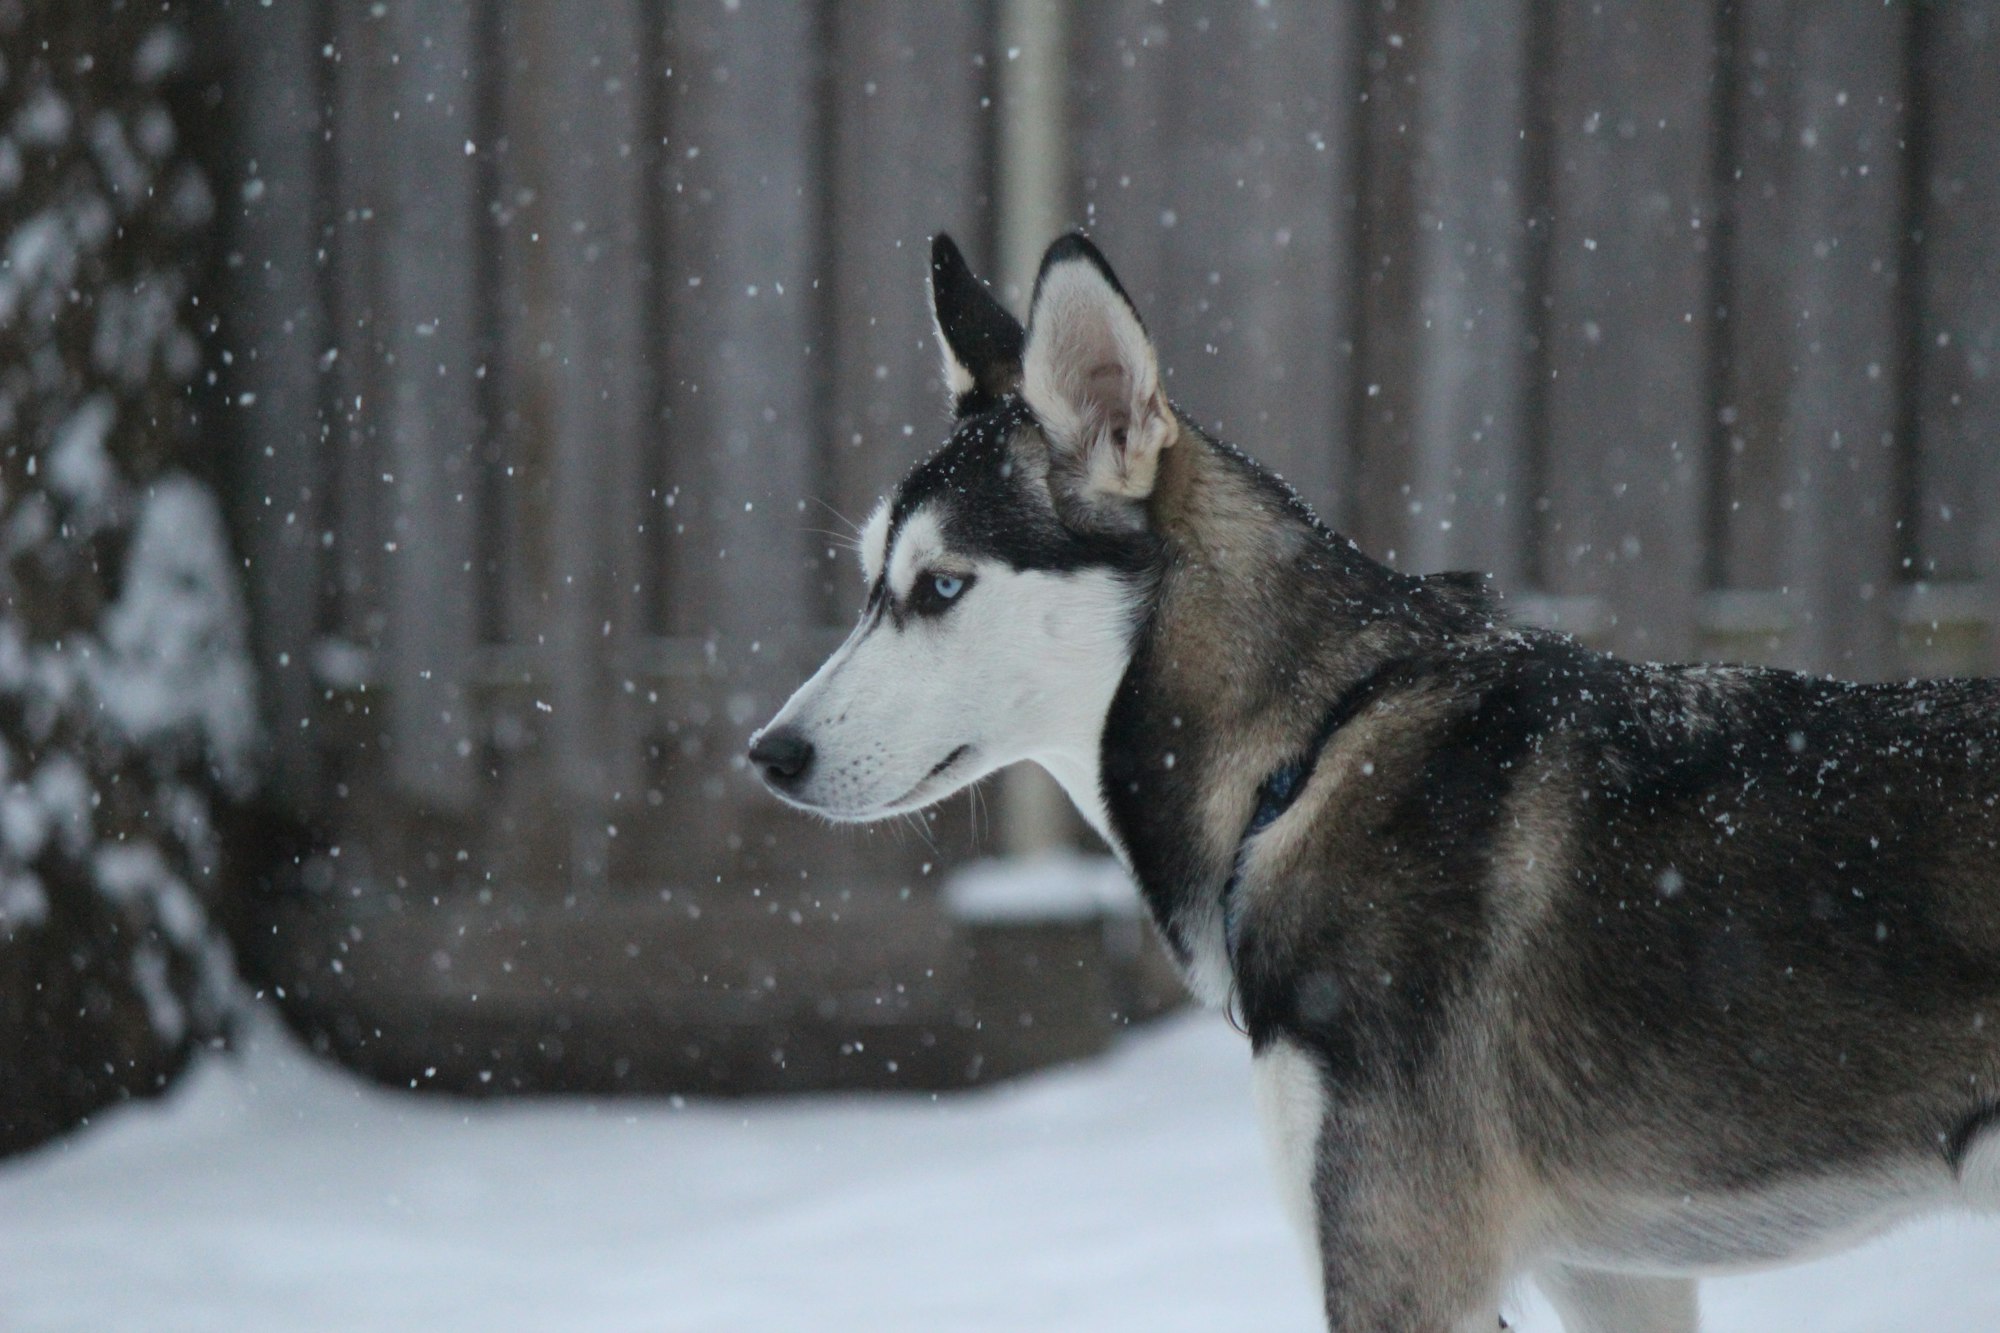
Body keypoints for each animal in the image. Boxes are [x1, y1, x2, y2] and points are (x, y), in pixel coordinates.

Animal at [748, 233, 2000, 1320]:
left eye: (941, 588)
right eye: (869, 582)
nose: (767, 754)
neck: (1296, 759)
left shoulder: (1401, 1259)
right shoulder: (1612, 1275)